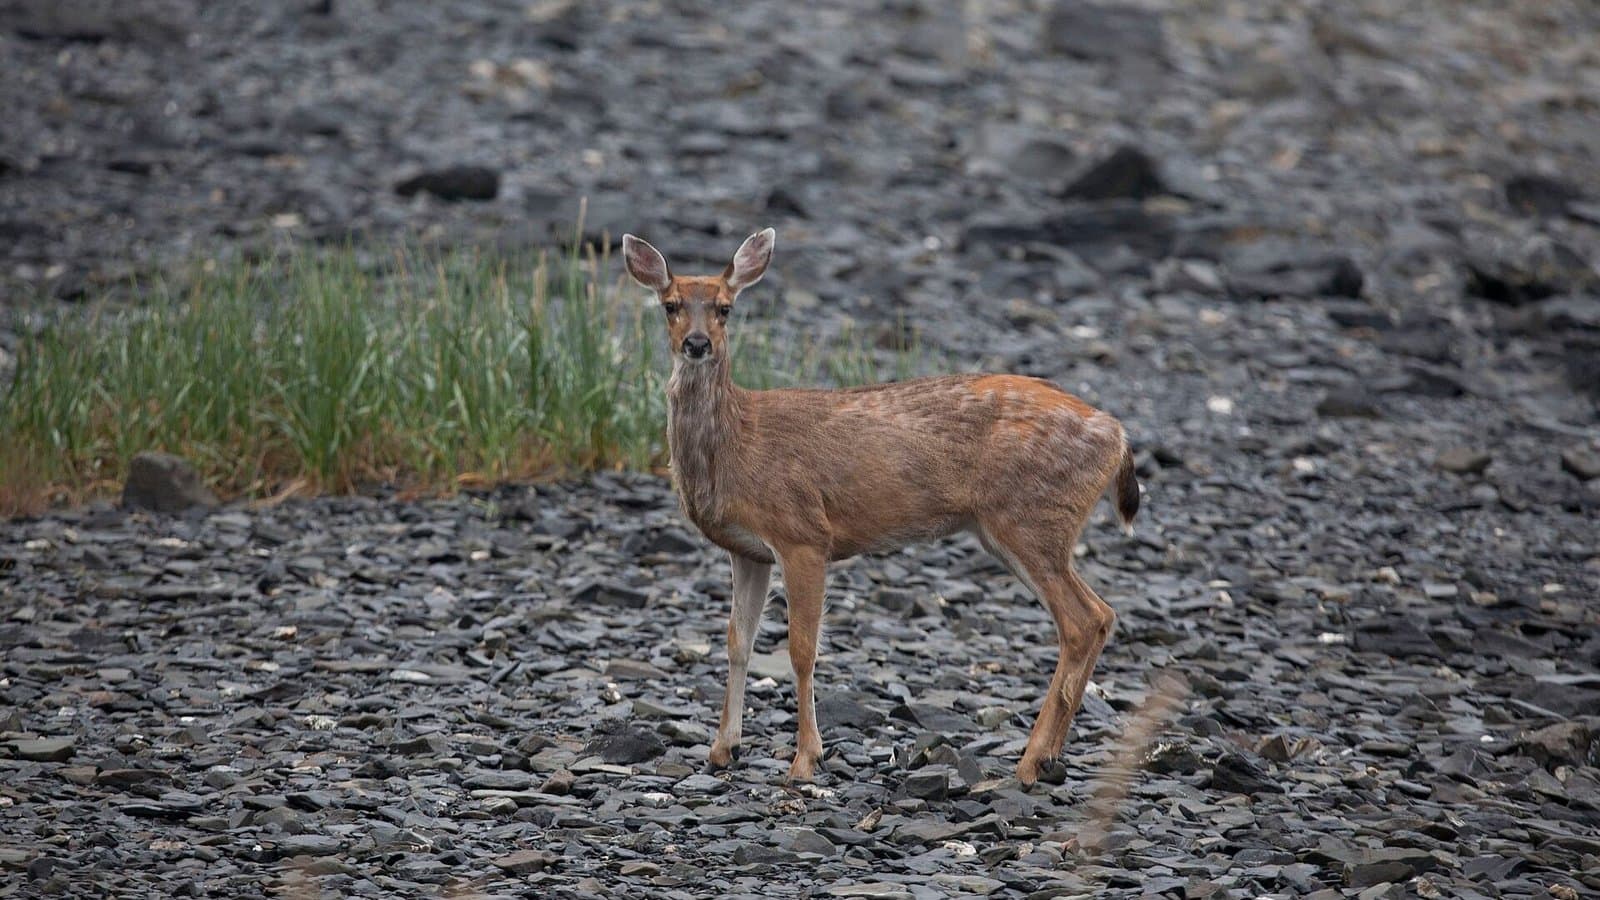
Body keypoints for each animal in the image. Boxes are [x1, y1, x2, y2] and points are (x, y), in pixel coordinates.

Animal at [621, 228, 1140, 786]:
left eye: (724, 308)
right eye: (670, 305)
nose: (697, 344)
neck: (737, 443)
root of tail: (1117, 436)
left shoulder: (803, 532)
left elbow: (801, 649)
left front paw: (805, 759)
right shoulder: (748, 550)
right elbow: (738, 641)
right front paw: (722, 748)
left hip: (1030, 517)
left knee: (1083, 620)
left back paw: (1028, 761)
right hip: (1021, 528)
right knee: (1100, 615)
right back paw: (1048, 757)